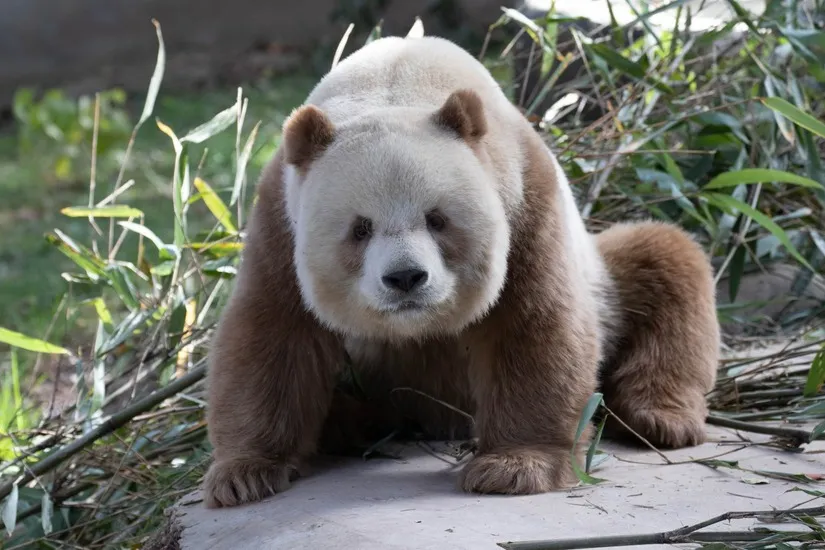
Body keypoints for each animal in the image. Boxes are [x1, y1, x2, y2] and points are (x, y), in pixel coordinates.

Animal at [201, 35, 719, 508]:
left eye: (437, 219)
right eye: (360, 228)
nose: (406, 279)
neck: (397, 81)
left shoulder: (524, 198)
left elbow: (535, 325)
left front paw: (515, 466)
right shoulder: (279, 219)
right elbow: (272, 334)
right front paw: (245, 475)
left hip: (607, 279)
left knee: (663, 263)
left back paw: (660, 417)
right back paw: (348, 426)